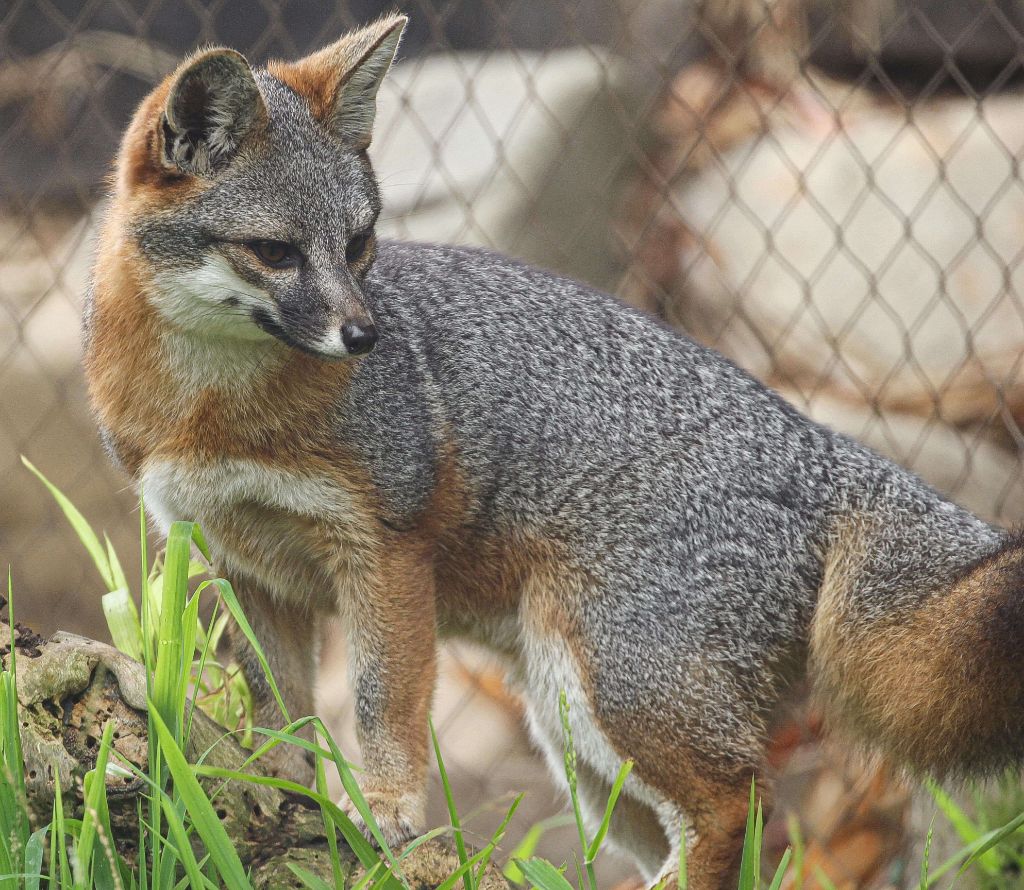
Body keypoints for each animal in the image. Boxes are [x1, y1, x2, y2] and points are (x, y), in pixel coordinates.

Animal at [83, 13, 1024, 889]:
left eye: (358, 244)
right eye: (274, 252)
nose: (365, 334)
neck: (215, 410)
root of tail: (822, 444)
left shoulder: (384, 549)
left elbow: (381, 702)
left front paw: (385, 810)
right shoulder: (243, 565)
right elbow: (277, 713)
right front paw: (275, 794)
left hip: (611, 687)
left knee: (740, 803)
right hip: (575, 728)